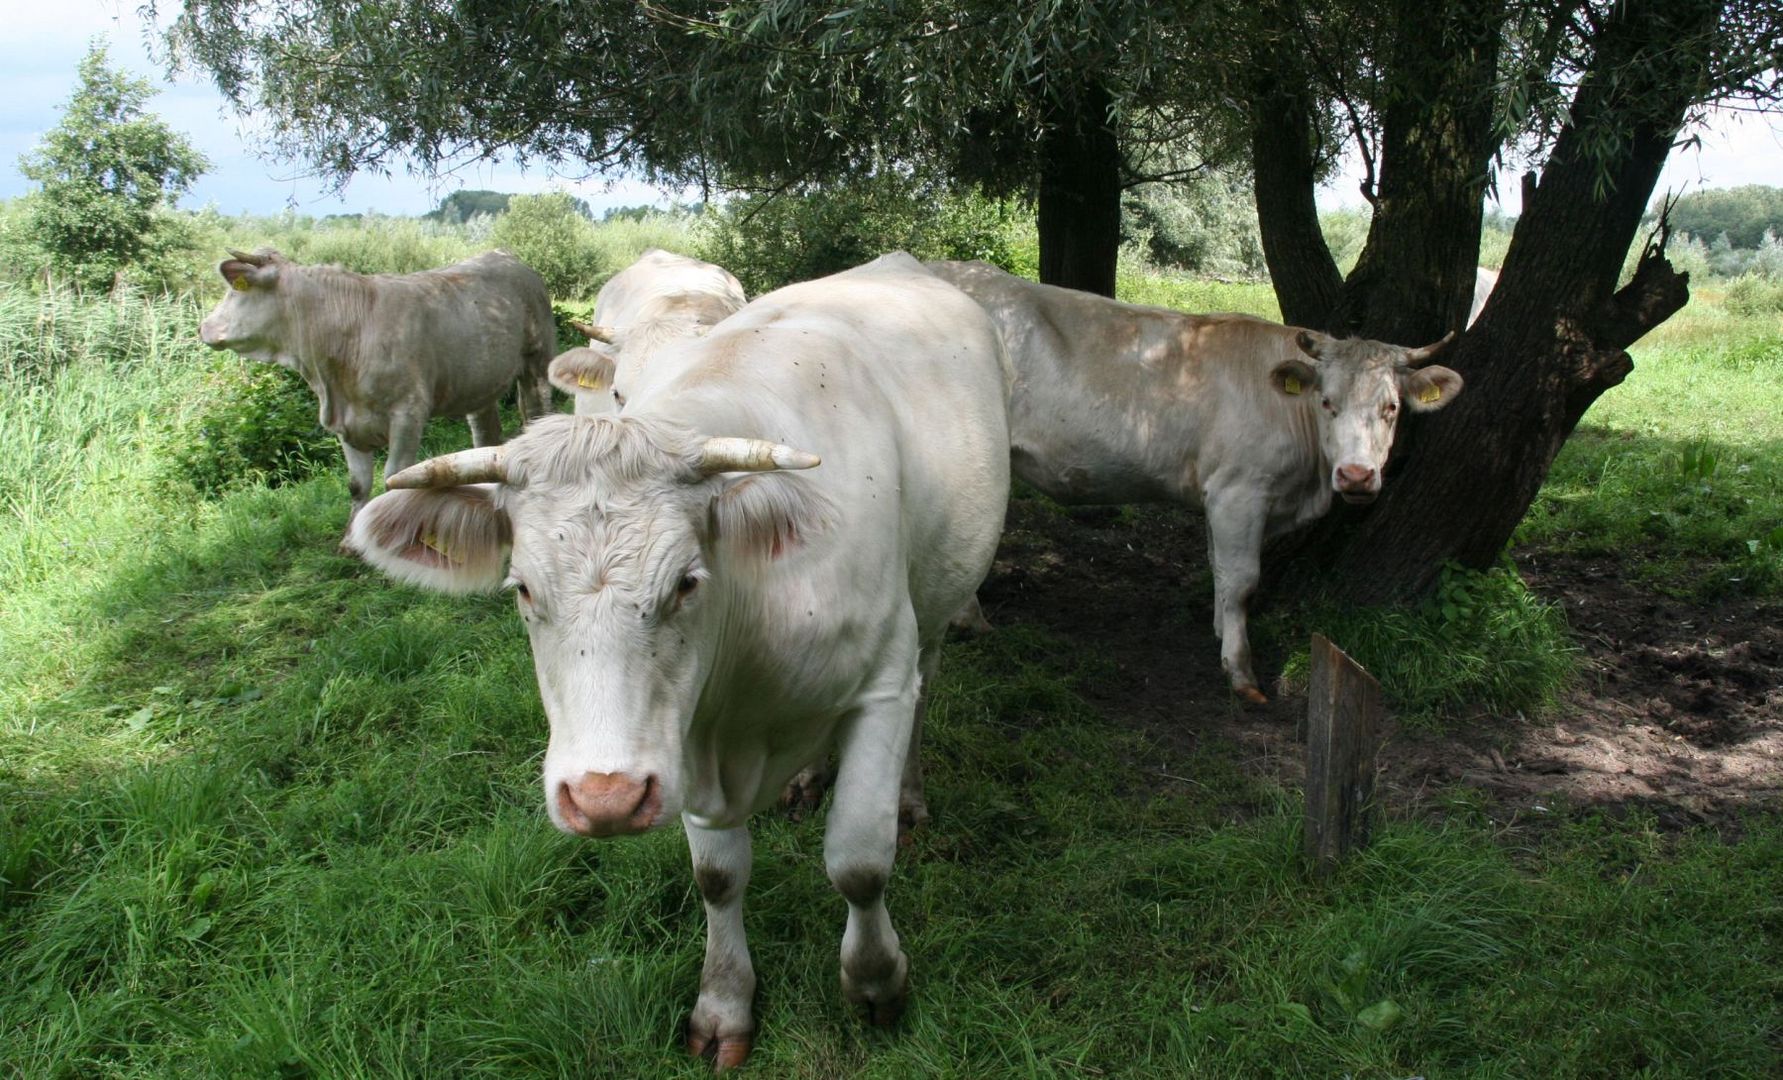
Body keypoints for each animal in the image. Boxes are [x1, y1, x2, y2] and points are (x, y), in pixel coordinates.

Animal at [198, 244, 552, 534]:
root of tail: (506, 256)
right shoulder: (343, 421)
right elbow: (357, 483)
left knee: (540, 409)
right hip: (479, 382)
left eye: (237, 291)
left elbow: (394, 477)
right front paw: (351, 538)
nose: (203, 327)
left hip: (539, 360)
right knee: (485, 432)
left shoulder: (408, 413)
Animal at [927, 260, 1454, 702]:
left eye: (1391, 407)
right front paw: (1241, 671)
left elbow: (1219, 566)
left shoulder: (1218, 492)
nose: (1356, 475)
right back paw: (968, 619)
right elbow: (1242, 579)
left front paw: (1221, 629)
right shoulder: (1240, 491)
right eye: (1327, 402)